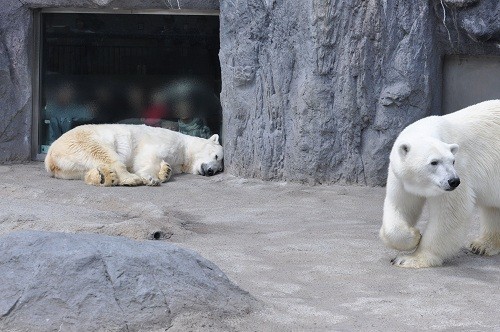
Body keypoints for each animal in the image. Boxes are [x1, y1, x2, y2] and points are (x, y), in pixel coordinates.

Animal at [45, 124, 225, 187]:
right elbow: (148, 157)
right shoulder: (168, 141)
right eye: (217, 157)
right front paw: (151, 178)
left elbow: (167, 165)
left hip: (69, 169)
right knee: (106, 154)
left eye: (219, 170)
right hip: (85, 140)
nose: (210, 171)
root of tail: (50, 157)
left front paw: (165, 171)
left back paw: (104, 177)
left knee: (85, 170)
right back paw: (130, 179)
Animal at [378, 100, 500, 268]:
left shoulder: (461, 169)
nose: (454, 181)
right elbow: (400, 205)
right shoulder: (401, 178)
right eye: (434, 162)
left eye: (452, 161)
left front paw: (411, 258)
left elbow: (451, 212)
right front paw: (414, 235)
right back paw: (482, 245)